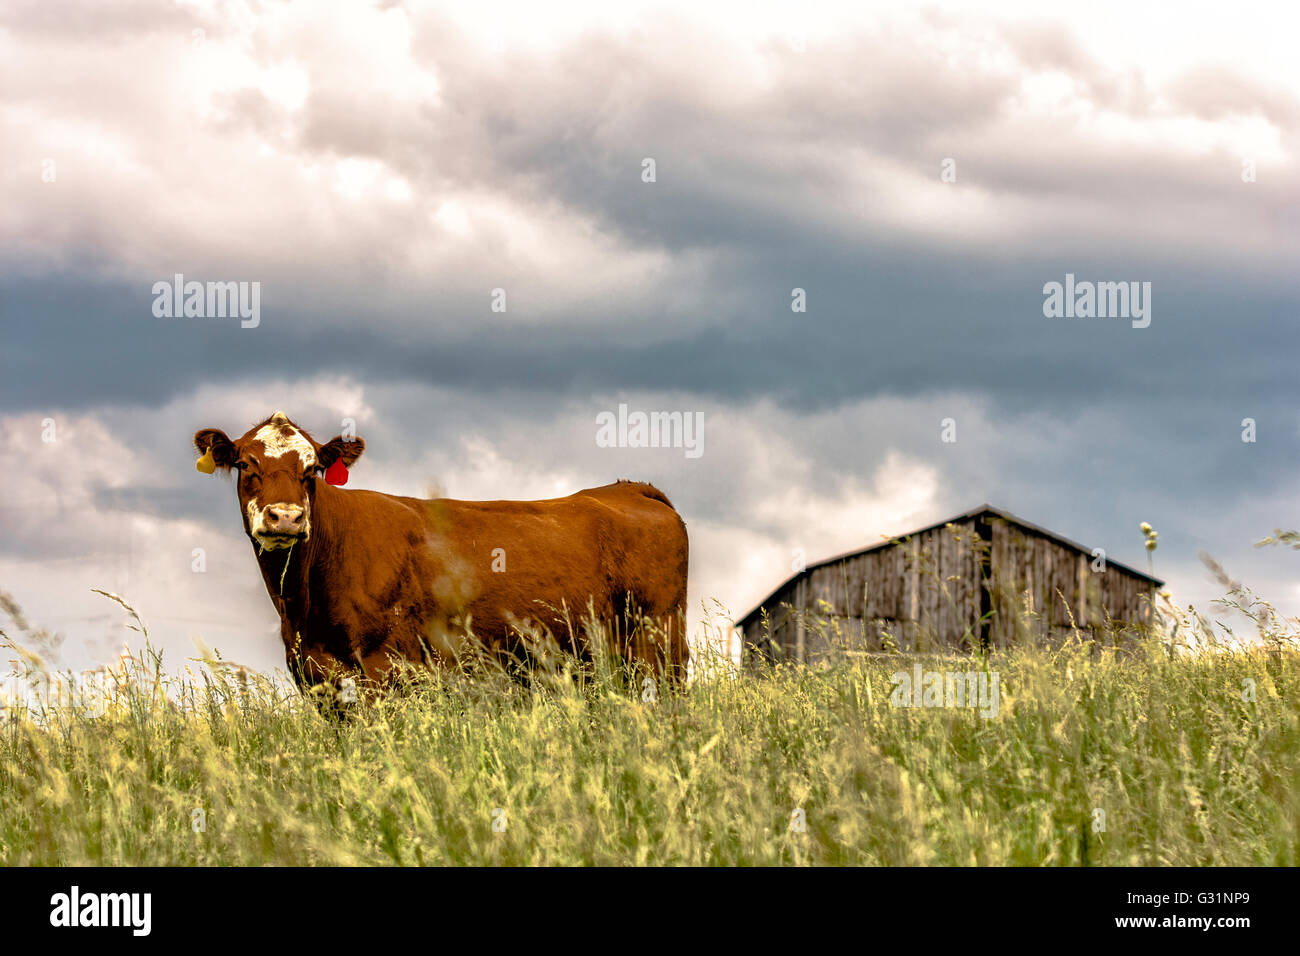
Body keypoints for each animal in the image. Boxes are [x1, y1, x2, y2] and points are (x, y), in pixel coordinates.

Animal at [193, 412, 689, 698]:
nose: (286, 517)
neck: (305, 602)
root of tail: (628, 489)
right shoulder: (314, 676)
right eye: (245, 464)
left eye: (312, 468)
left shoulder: (387, 667)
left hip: (660, 641)